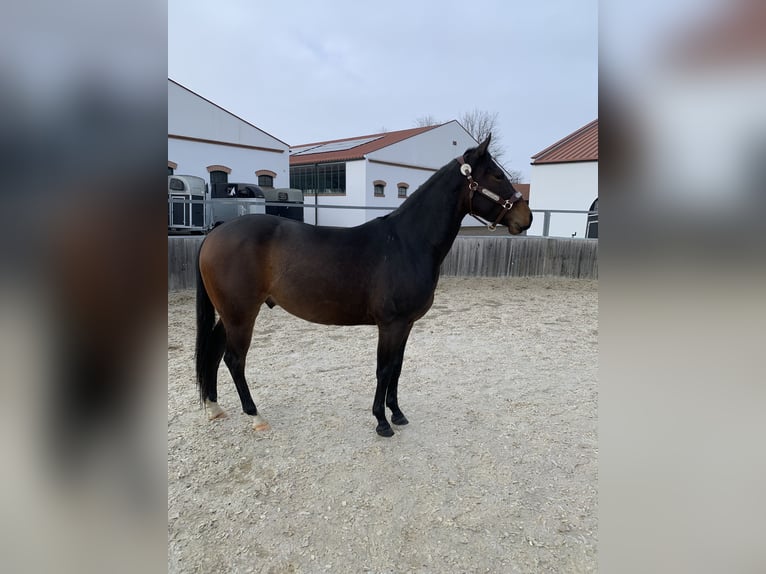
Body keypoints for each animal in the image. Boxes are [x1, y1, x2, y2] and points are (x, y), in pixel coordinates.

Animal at [195, 135, 532, 437]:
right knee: (234, 360)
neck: (407, 243)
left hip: (230, 314)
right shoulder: (391, 324)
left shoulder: (406, 324)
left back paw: (214, 407)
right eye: (497, 175)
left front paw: (397, 413)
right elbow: (383, 369)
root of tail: (217, 232)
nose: (525, 218)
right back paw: (255, 415)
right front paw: (382, 422)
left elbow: (397, 367)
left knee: (213, 351)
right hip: (241, 315)